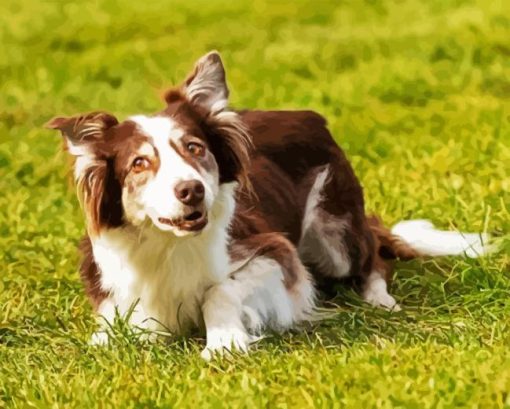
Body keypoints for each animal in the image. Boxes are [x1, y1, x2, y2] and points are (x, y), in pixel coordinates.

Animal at [47, 51, 490, 356]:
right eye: (139, 163)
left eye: (195, 148)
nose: (192, 190)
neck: (170, 244)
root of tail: (307, 116)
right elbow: (118, 322)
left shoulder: (275, 253)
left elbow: (219, 290)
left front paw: (223, 343)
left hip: (335, 233)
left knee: (374, 259)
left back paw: (379, 298)